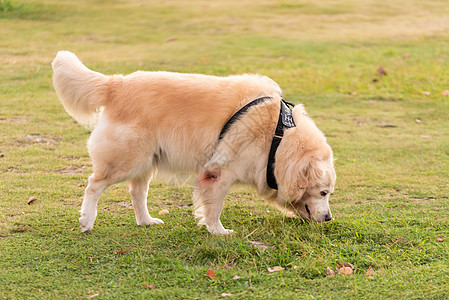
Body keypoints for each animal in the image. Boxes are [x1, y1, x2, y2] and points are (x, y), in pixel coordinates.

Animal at [50, 51, 334, 234]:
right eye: (323, 193)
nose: (329, 218)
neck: (278, 136)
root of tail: (116, 83)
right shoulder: (219, 171)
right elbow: (214, 206)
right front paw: (218, 232)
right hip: (127, 159)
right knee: (94, 184)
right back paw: (87, 220)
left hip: (146, 161)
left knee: (136, 192)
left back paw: (146, 221)